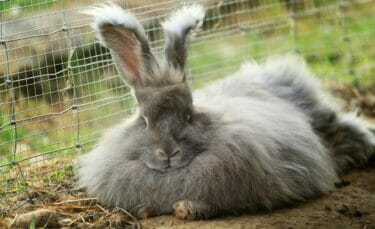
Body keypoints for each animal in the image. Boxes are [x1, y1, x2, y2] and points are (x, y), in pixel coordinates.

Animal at [77, 3, 375, 218]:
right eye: (145, 120)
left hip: (327, 122)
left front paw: (186, 209)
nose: (168, 153)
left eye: (189, 115)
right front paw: (145, 210)